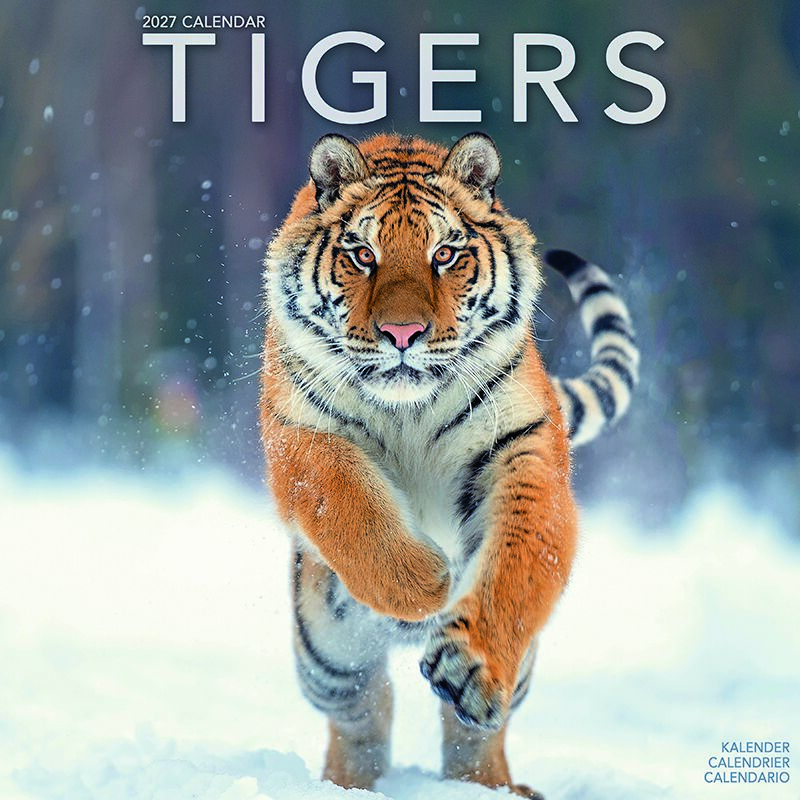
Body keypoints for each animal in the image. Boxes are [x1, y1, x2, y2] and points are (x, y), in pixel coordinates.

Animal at [259, 132, 638, 799]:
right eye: (362, 254)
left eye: (445, 254)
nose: (402, 333)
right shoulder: (299, 434)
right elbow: (345, 500)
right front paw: (424, 581)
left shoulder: (523, 449)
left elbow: (520, 561)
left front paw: (470, 664)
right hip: (326, 655)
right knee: (363, 711)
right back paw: (346, 785)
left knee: (472, 731)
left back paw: (491, 784)